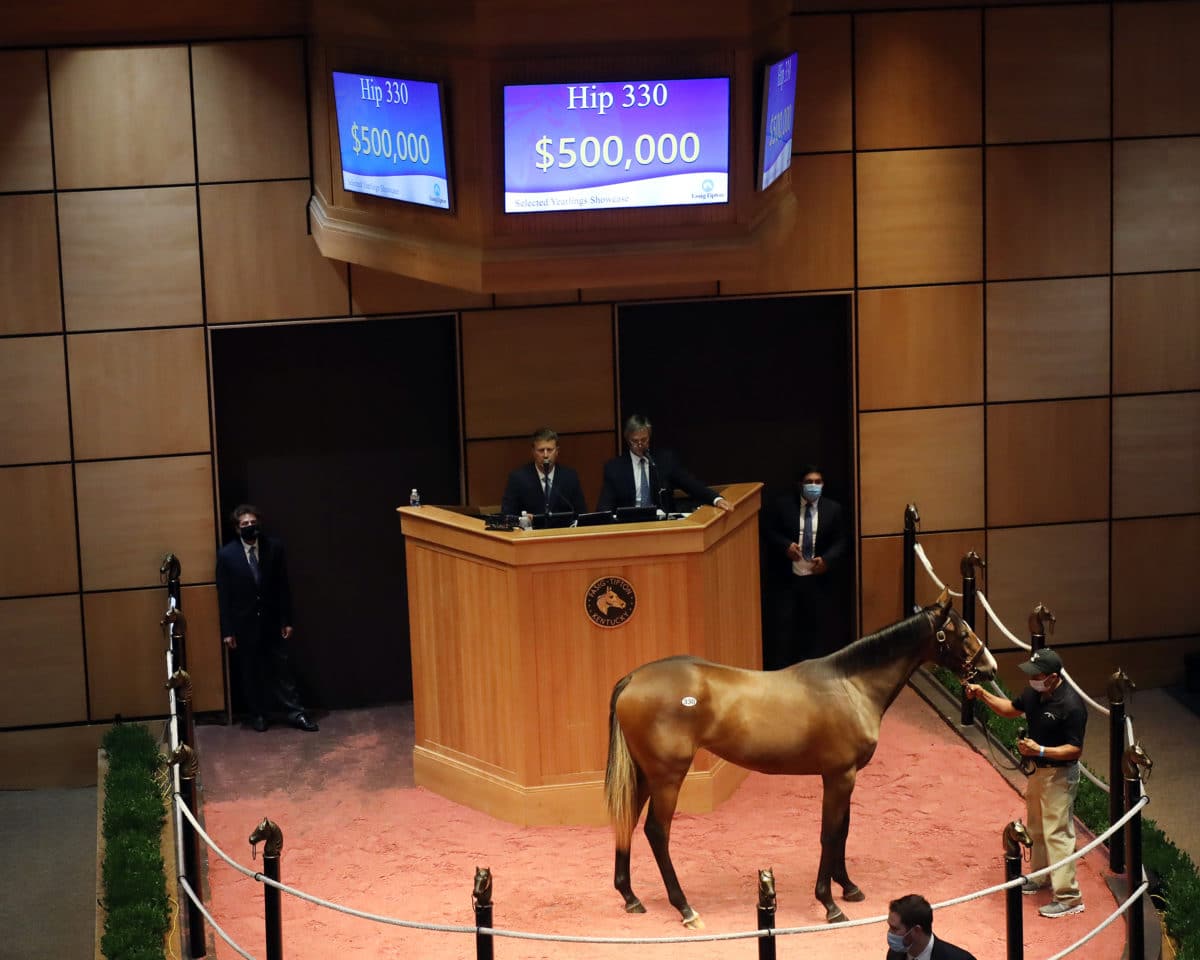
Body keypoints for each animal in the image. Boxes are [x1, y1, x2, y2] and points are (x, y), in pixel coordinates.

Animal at [604, 588, 998, 926]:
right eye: (963, 632)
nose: (991, 668)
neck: (851, 685)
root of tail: (632, 679)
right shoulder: (839, 775)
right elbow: (829, 834)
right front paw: (829, 903)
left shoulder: (845, 776)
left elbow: (843, 831)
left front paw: (848, 887)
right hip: (667, 778)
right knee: (657, 832)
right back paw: (685, 908)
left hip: (644, 775)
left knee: (626, 821)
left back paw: (630, 897)